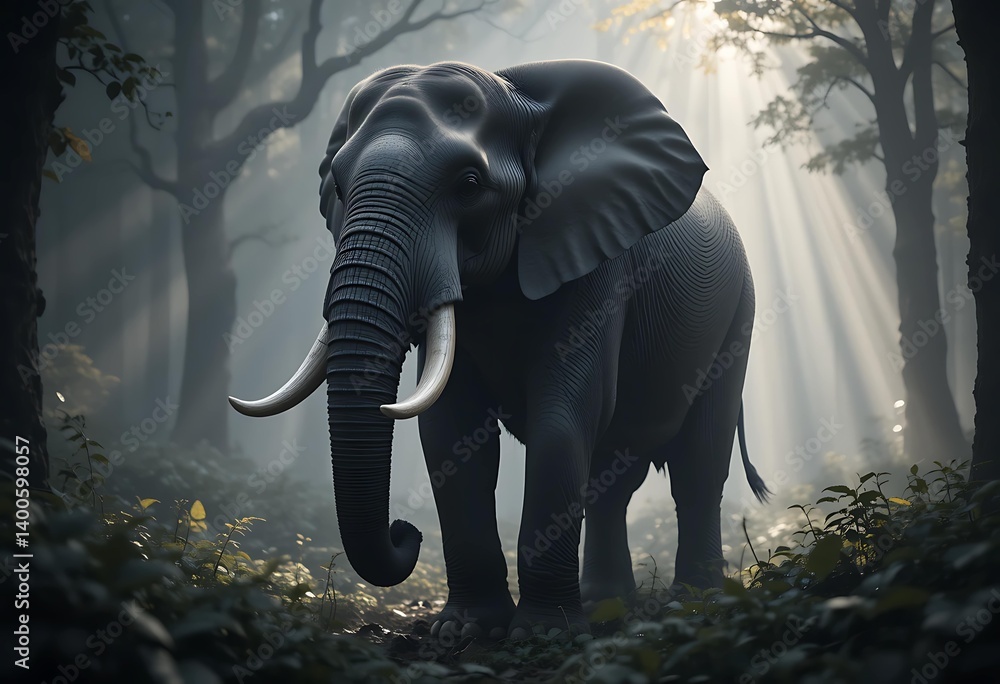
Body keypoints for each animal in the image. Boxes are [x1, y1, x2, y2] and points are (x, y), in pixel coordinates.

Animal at [230, 59, 769, 640]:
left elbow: (564, 418)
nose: (405, 532)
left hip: (738, 318)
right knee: (612, 479)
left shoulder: (598, 261)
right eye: (338, 183)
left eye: (469, 184)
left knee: (698, 466)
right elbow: (450, 430)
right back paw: (606, 604)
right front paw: (464, 631)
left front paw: (543, 633)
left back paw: (693, 603)